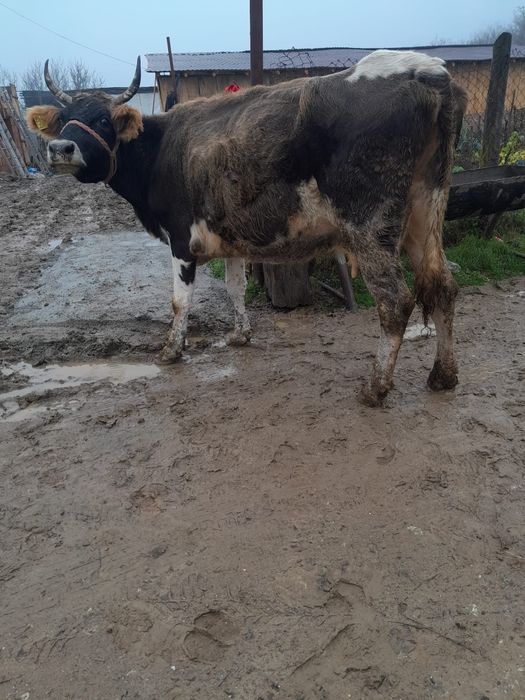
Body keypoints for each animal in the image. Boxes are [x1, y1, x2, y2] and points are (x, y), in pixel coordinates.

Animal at [26, 50, 466, 406]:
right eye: (63, 120)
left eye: (103, 119)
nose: (59, 149)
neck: (160, 149)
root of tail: (426, 71)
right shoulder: (230, 238)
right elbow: (234, 288)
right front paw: (240, 335)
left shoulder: (181, 239)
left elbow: (179, 301)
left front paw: (171, 351)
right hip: (425, 210)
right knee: (442, 285)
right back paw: (443, 376)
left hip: (369, 223)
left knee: (395, 301)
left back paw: (375, 388)